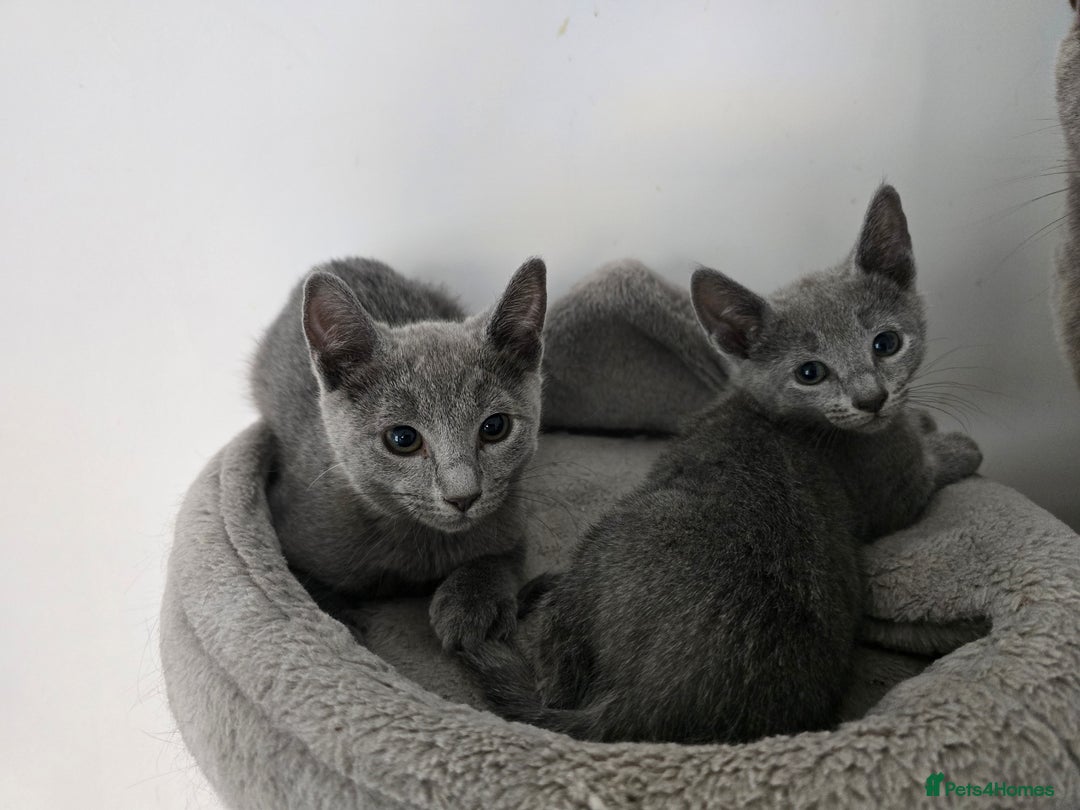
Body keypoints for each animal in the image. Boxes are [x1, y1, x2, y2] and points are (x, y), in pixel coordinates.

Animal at [251, 256, 547, 650]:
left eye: (495, 427)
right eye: (403, 438)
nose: (463, 496)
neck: (422, 545)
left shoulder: (512, 516)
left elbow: (503, 556)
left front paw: (473, 602)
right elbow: (304, 588)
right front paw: (341, 624)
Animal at [463, 185, 983, 743]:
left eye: (886, 343)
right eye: (810, 373)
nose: (871, 398)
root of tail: (648, 708)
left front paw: (926, 422)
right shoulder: (898, 490)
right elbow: (930, 472)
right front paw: (957, 445)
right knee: (554, 681)